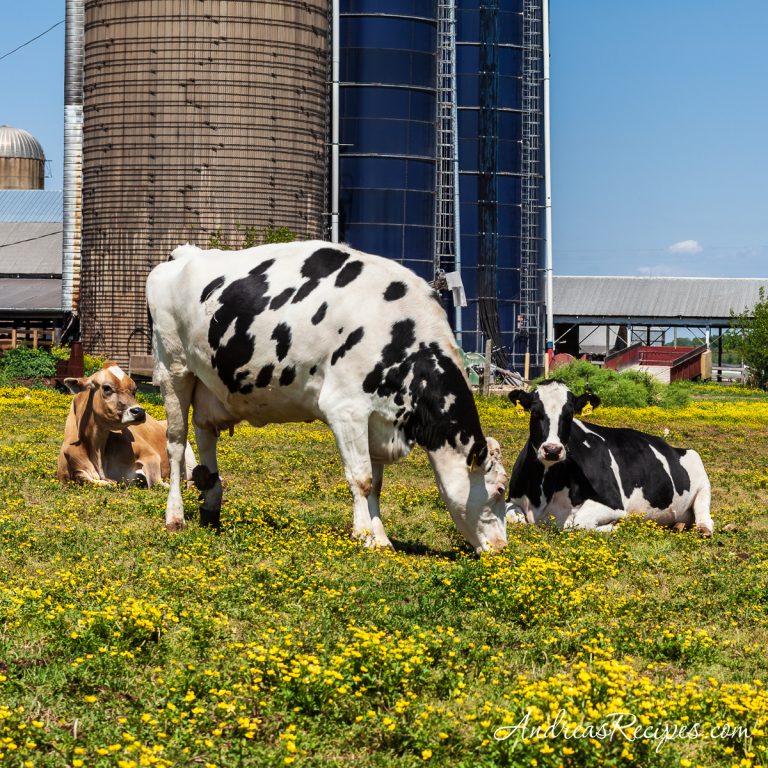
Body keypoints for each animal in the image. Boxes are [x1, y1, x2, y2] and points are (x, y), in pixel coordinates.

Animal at [57, 363, 195, 487]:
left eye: (134, 390)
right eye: (107, 388)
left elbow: (156, 482)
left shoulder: (151, 455)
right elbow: (83, 477)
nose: (139, 411)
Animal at [146, 240, 509, 553]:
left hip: (209, 385)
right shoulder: (346, 409)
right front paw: (364, 535)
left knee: (205, 438)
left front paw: (380, 537)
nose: (502, 549)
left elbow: (376, 483)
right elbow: (362, 479)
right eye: (499, 490)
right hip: (174, 368)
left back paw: (211, 510)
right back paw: (175, 517)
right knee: (177, 444)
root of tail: (185, 254)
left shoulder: (378, 418)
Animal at [505, 380, 714, 535]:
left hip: (702, 477)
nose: (552, 450)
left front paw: (614, 525)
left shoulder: (613, 504)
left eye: (569, 414)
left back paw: (703, 529)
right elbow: (513, 517)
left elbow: (578, 523)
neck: (543, 492)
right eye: (535, 412)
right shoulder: (513, 499)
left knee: (704, 515)